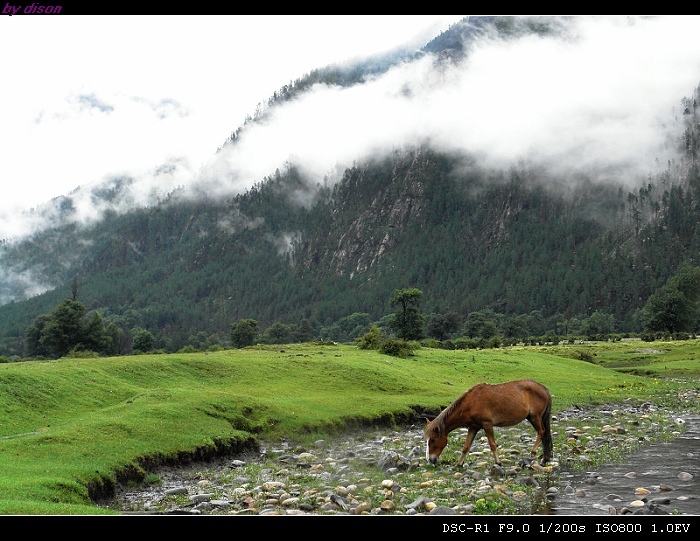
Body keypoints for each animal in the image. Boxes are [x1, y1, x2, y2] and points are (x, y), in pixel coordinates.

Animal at [422, 378, 552, 466]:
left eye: (433, 439)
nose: (430, 460)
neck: (472, 402)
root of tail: (544, 389)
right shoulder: (473, 427)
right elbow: (466, 446)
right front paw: (459, 464)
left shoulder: (487, 424)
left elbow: (493, 445)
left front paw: (498, 462)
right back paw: (545, 459)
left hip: (535, 417)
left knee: (541, 432)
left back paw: (533, 454)